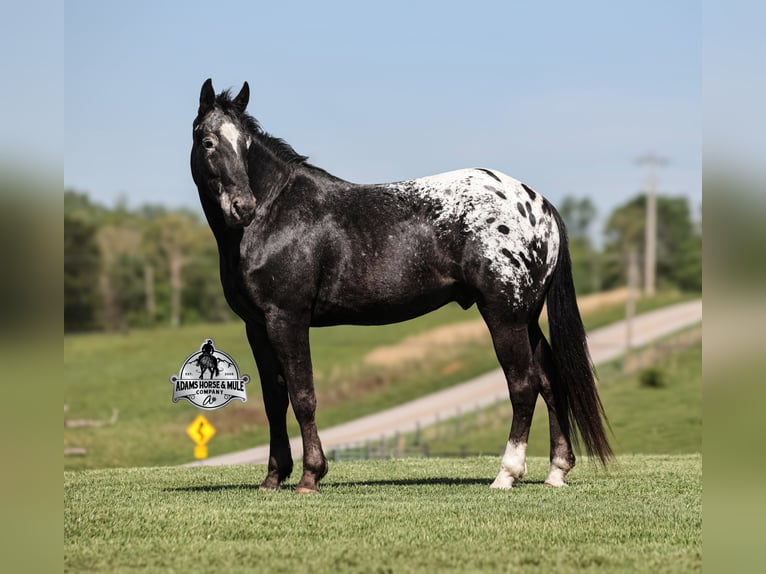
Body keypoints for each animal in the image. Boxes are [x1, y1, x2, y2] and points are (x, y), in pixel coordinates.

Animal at [190, 79, 612, 493]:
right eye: (208, 142)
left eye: (245, 146)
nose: (243, 206)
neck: (277, 213)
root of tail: (539, 205)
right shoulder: (257, 327)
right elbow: (274, 401)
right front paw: (273, 477)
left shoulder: (287, 319)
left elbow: (303, 395)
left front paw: (311, 476)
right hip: (526, 315)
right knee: (549, 380)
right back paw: (556, 470)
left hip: (503, 315)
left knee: (523, 385)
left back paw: (506, 475)